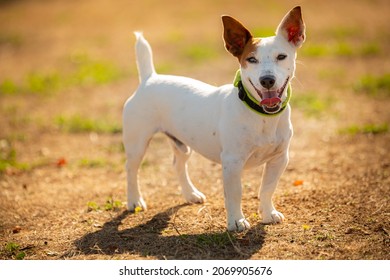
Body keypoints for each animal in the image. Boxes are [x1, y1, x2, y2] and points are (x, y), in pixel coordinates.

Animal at [123, 6, 306, 231]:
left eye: (282, 56)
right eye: (251, 60)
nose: (267, 80)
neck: (262, 115)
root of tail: (150, 78)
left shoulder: (279, 159)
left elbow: (267, 189)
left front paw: (268, 213)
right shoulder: (232, 162)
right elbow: (235, 194)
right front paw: (236, 221)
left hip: (182, 144)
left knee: (178, 164)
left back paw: (191, 194)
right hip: (137, 144)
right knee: (131, 170)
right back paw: (134, 201)